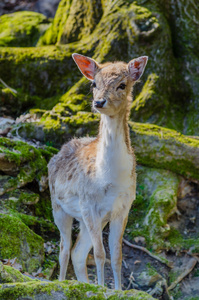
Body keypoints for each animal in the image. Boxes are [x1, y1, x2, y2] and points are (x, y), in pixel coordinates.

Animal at [47, 52, 148, 290]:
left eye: (122, 84)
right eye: (94, 83)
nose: (99, 101)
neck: (109, 179)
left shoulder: (123, 207)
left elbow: (117, 255)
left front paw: (117, 290)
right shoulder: (88, 204)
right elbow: (101, 254)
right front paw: (104, 289)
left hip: (90, 219)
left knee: (78, 252)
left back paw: (85, 284)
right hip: (59, 207)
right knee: (64, 249)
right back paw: (63, 282)